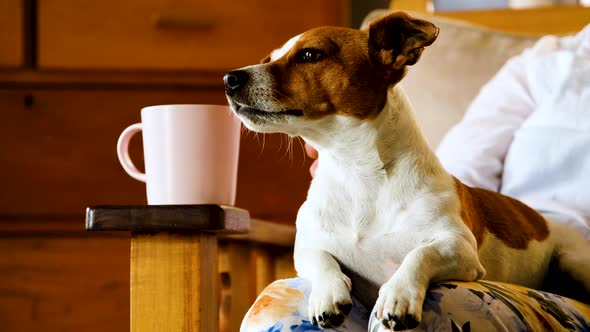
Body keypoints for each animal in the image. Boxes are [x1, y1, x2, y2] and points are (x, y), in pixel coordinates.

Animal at [223, 11, 590, 330]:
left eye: (310, 55)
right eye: (269, 58)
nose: (229, 77)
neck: (359, 173)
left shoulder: (459, 247)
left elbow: (419, 254)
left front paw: (398, 295)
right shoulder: (309, 245)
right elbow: (321, 259)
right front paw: (328, 293)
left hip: (573, 260)